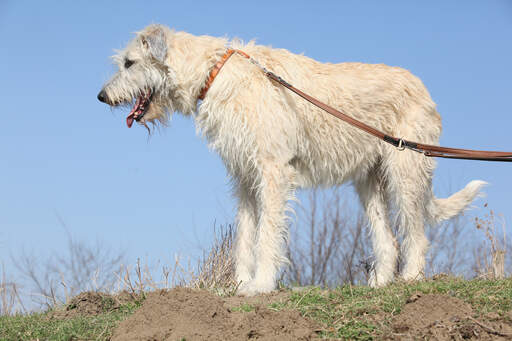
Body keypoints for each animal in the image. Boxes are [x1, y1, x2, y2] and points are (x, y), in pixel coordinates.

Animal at [98, 24, 486, 294]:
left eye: (130, 63)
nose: (101, 96)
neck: (214, 72)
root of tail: (424, 89)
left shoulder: (272, 172)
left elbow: (268, 232)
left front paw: (261, 285)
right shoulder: (245, 178)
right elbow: (245, 234)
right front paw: (241, 284)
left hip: (405, 170)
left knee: (416, 233)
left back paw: (410, 279)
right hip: (369, 182)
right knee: (387, 238)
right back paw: (379, 284)